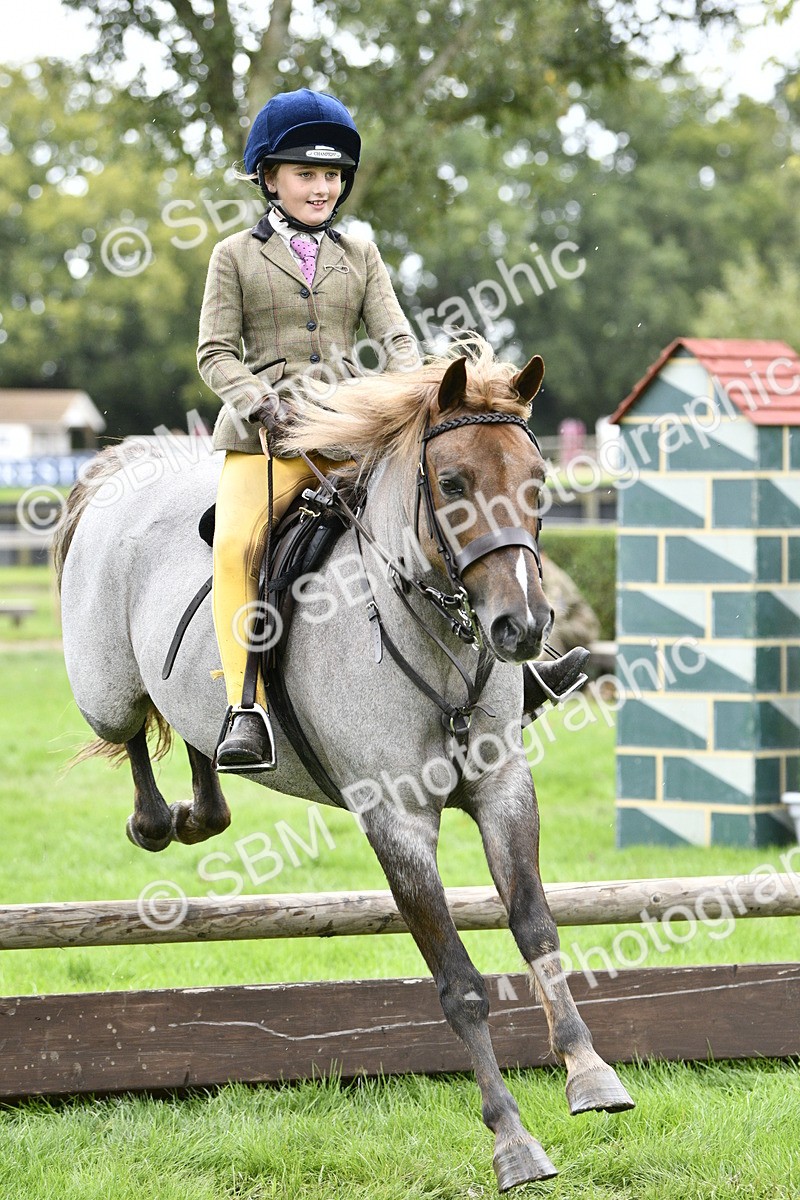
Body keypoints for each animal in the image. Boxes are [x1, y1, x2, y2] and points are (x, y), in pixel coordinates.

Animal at [54, 337, 633, 1191]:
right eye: (452, 483)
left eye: (536, 481)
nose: (521, 628)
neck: (430, 633)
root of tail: (123, 469)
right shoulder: (396, 819)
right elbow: (459, 984)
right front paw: (513, 1142)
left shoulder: (504, 790)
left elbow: (537, 929)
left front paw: (591, 1075)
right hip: (106, 690)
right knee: (130, 732)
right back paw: (159, 819)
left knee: (196, 740)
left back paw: (207, 794)